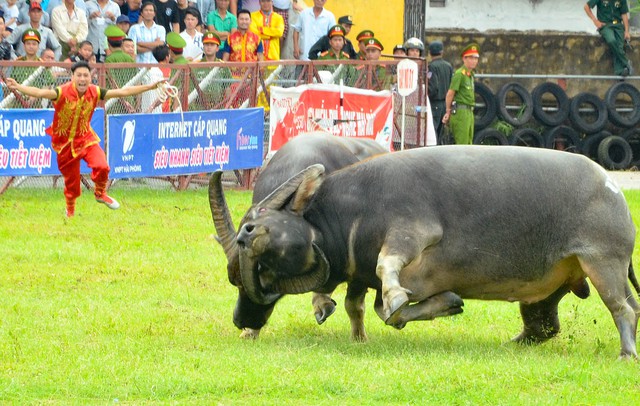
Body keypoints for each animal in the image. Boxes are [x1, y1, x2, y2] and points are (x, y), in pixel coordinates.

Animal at [225, 146, 640, 358]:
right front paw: (449, 304)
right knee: (545, 325)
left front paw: (398, 296)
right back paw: (514, 342)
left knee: (623, 309)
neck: (352, 211)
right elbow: (386, 311)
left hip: (602, 262)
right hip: (552, 286)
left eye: (263, 272)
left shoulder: (412, 230)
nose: (246, 233)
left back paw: (626, 353)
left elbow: (388, 273)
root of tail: (611, 186)